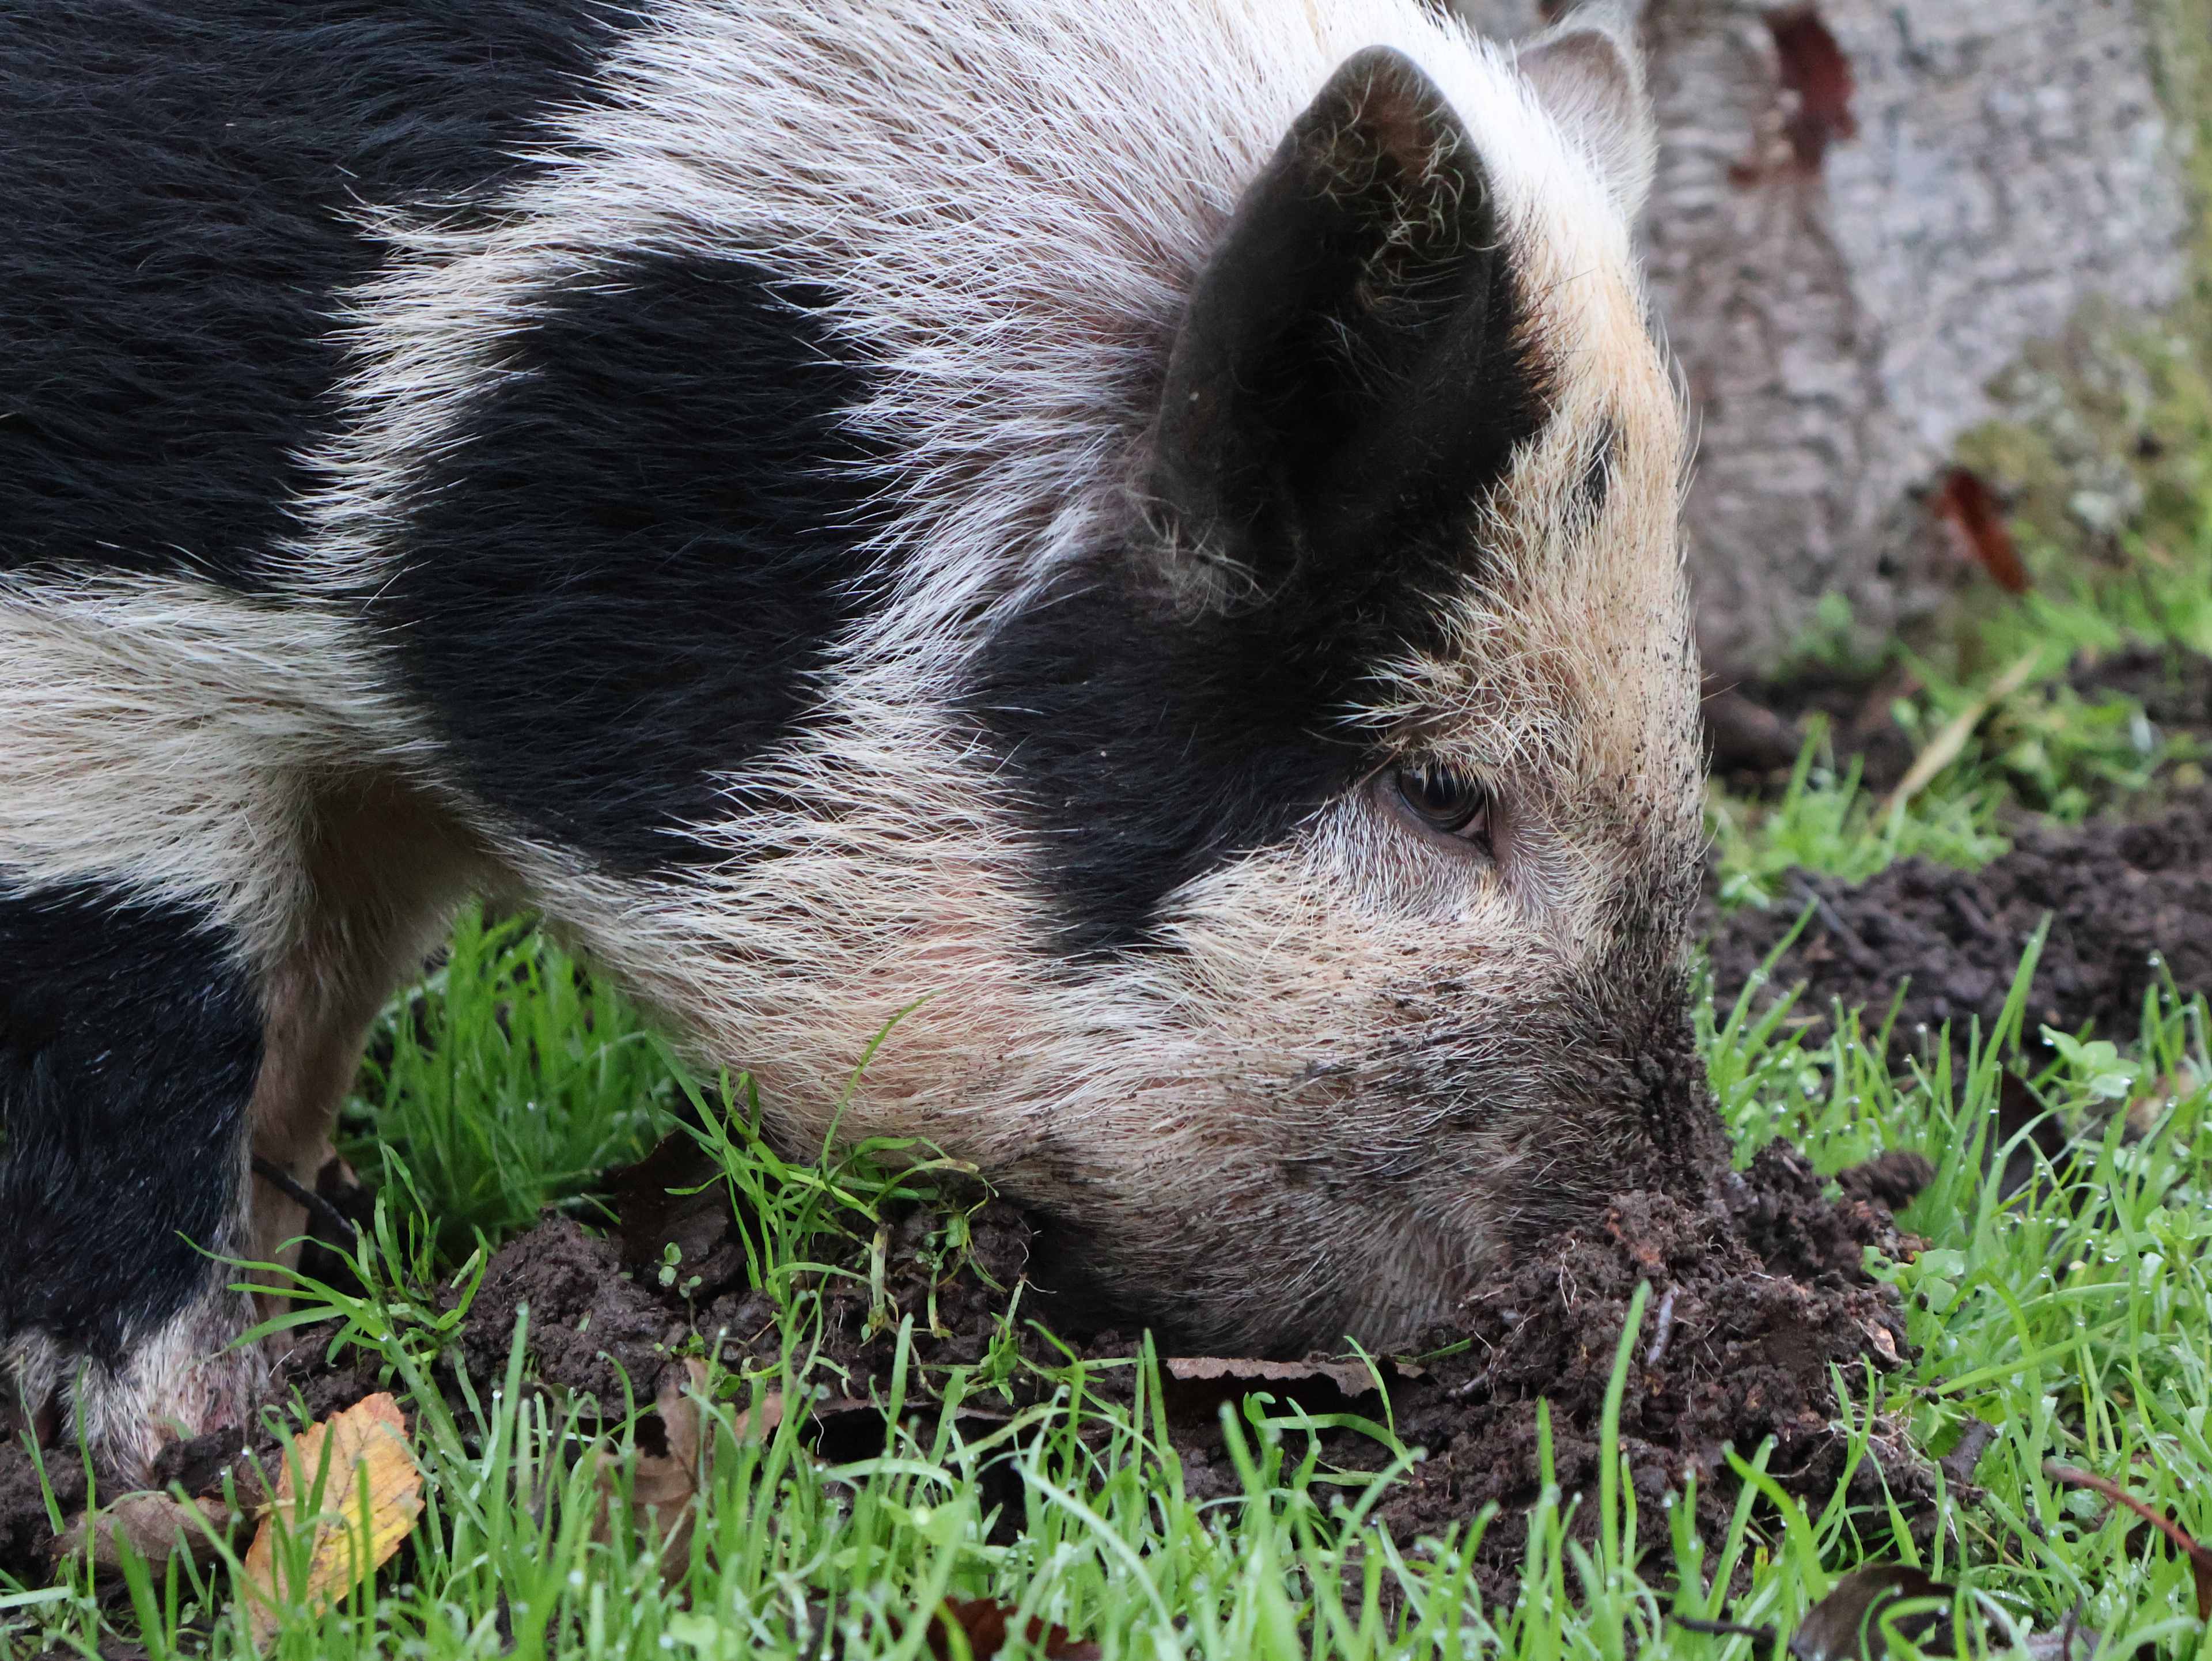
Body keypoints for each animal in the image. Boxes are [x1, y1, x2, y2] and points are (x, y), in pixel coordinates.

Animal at [0, 0, 1704, 1480]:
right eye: (1441, 789)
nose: (1664, 1262)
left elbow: (310, 1025)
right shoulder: (84, 627)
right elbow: (133, 1006)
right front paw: (182, 1452)